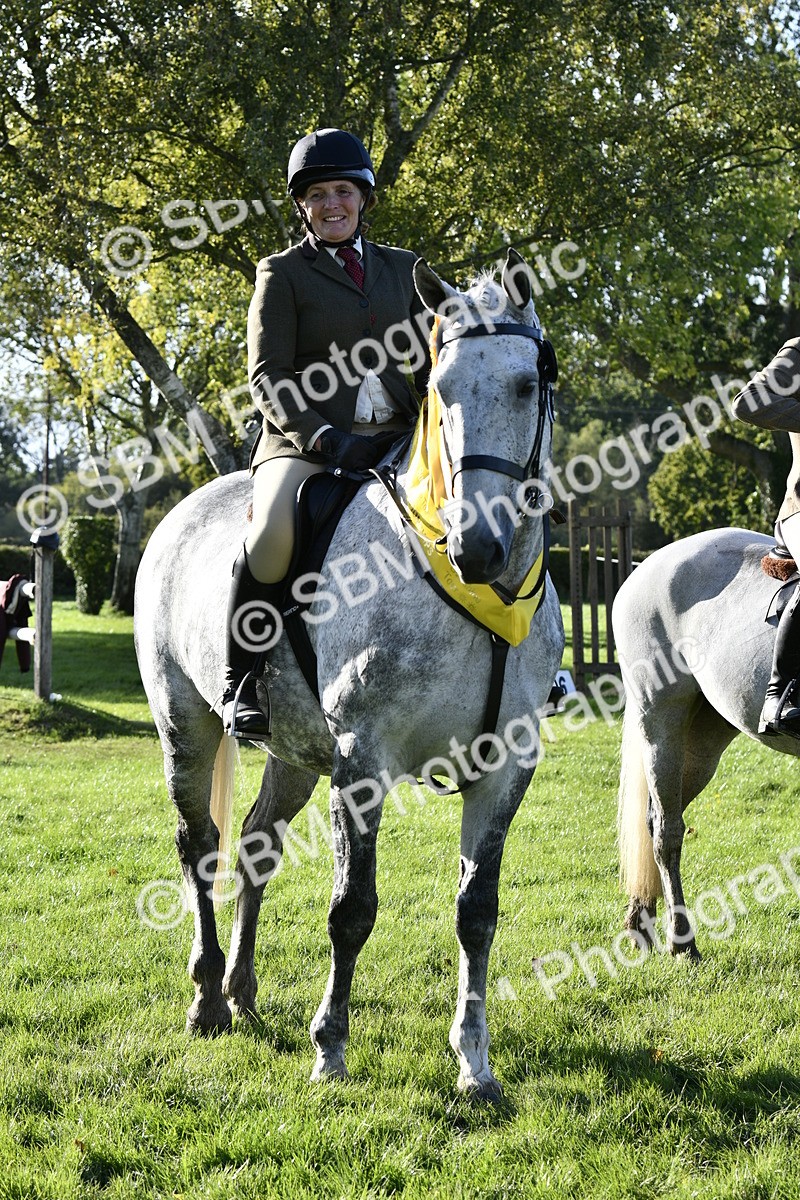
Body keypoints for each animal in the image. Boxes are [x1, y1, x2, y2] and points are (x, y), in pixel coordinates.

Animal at [133, 249, 565, 1099]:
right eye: (440, 388)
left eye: (527, 384)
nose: (478, 549)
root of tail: (182, 512)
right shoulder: (364, 762)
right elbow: (352, 909)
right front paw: (329, 1047)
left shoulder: (505, 768)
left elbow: (477, 912)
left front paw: (475, 1065)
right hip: (185, 723)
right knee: (199, 845)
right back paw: (207, 1000)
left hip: (299, 753)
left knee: (256, 844)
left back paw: (241, 990)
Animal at [613, 525, 800, 959]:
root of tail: (649, 565)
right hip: (661, 723)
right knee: (666, 831)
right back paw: (682, 943)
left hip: (702, 742)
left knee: (657, 820)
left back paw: (641, 922)